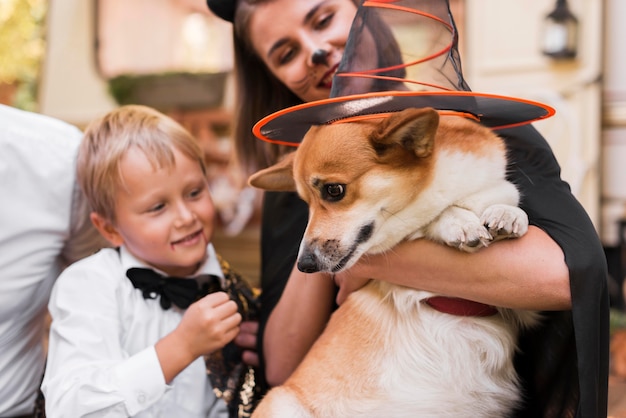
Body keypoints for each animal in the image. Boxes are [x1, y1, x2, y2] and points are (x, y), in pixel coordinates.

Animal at [247, 108, 536, 418]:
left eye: (334, 190)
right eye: (305, 202)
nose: (305, 265)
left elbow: (506, 195)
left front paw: (507, 215)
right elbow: (431, 215)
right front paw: (457, 221)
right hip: (283, 404)